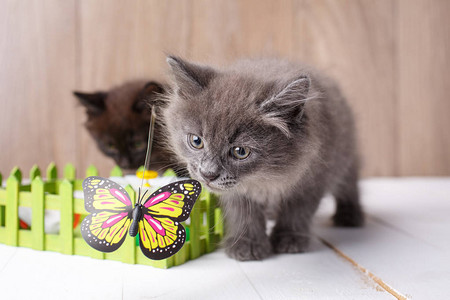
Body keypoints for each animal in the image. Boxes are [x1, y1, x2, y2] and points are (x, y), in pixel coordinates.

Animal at [163, 55, 364, 260]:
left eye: (240, 151)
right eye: (196, 141)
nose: (208, 174)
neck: (264, 179)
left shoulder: (313, 179)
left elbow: (298, 211)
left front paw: (290, 238)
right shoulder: (236, 193)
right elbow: (244, 214)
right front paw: (247, 244)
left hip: (346, 154)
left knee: (349, 184)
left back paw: (350, 215)